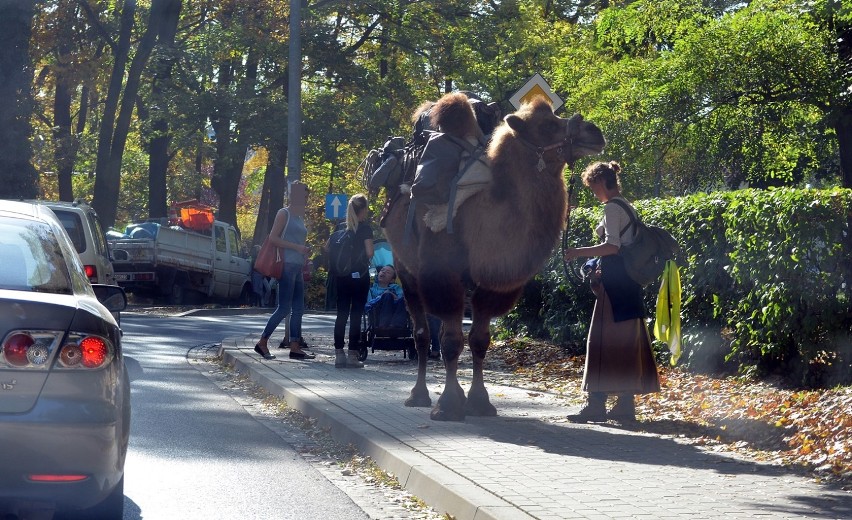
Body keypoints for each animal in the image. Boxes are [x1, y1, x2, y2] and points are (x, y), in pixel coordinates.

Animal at [380, 91, 604, 420]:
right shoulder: (445, 277)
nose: (594, 132)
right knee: (421, 333)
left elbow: (479, 340)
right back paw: (418, 395)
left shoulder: (492, 283)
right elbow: (450, 341)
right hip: (405, 270)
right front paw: (447, 405)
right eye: (548, 126)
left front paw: (479, 401)